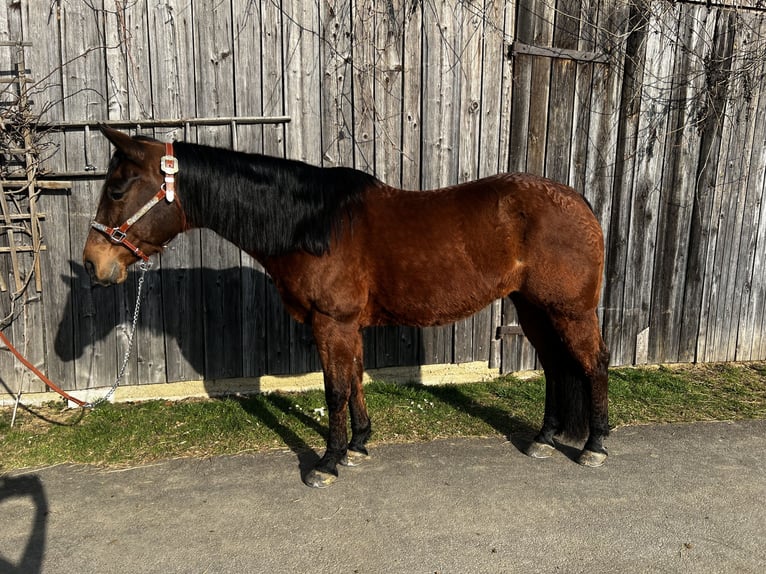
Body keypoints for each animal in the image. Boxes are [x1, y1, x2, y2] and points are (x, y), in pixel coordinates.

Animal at [83, 126, 610, 488]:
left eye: (117, 189)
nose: (93, 262)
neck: (312, 223)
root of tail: (578, 201)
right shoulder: (347, 326)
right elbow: (354, 379)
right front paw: (358, 445)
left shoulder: (330, 323)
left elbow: (335, 389)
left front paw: (328, 462)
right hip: (533, 307)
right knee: (556, 366)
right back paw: (544, 439)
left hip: (570, 310)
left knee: (593, 363)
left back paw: (595, 445)